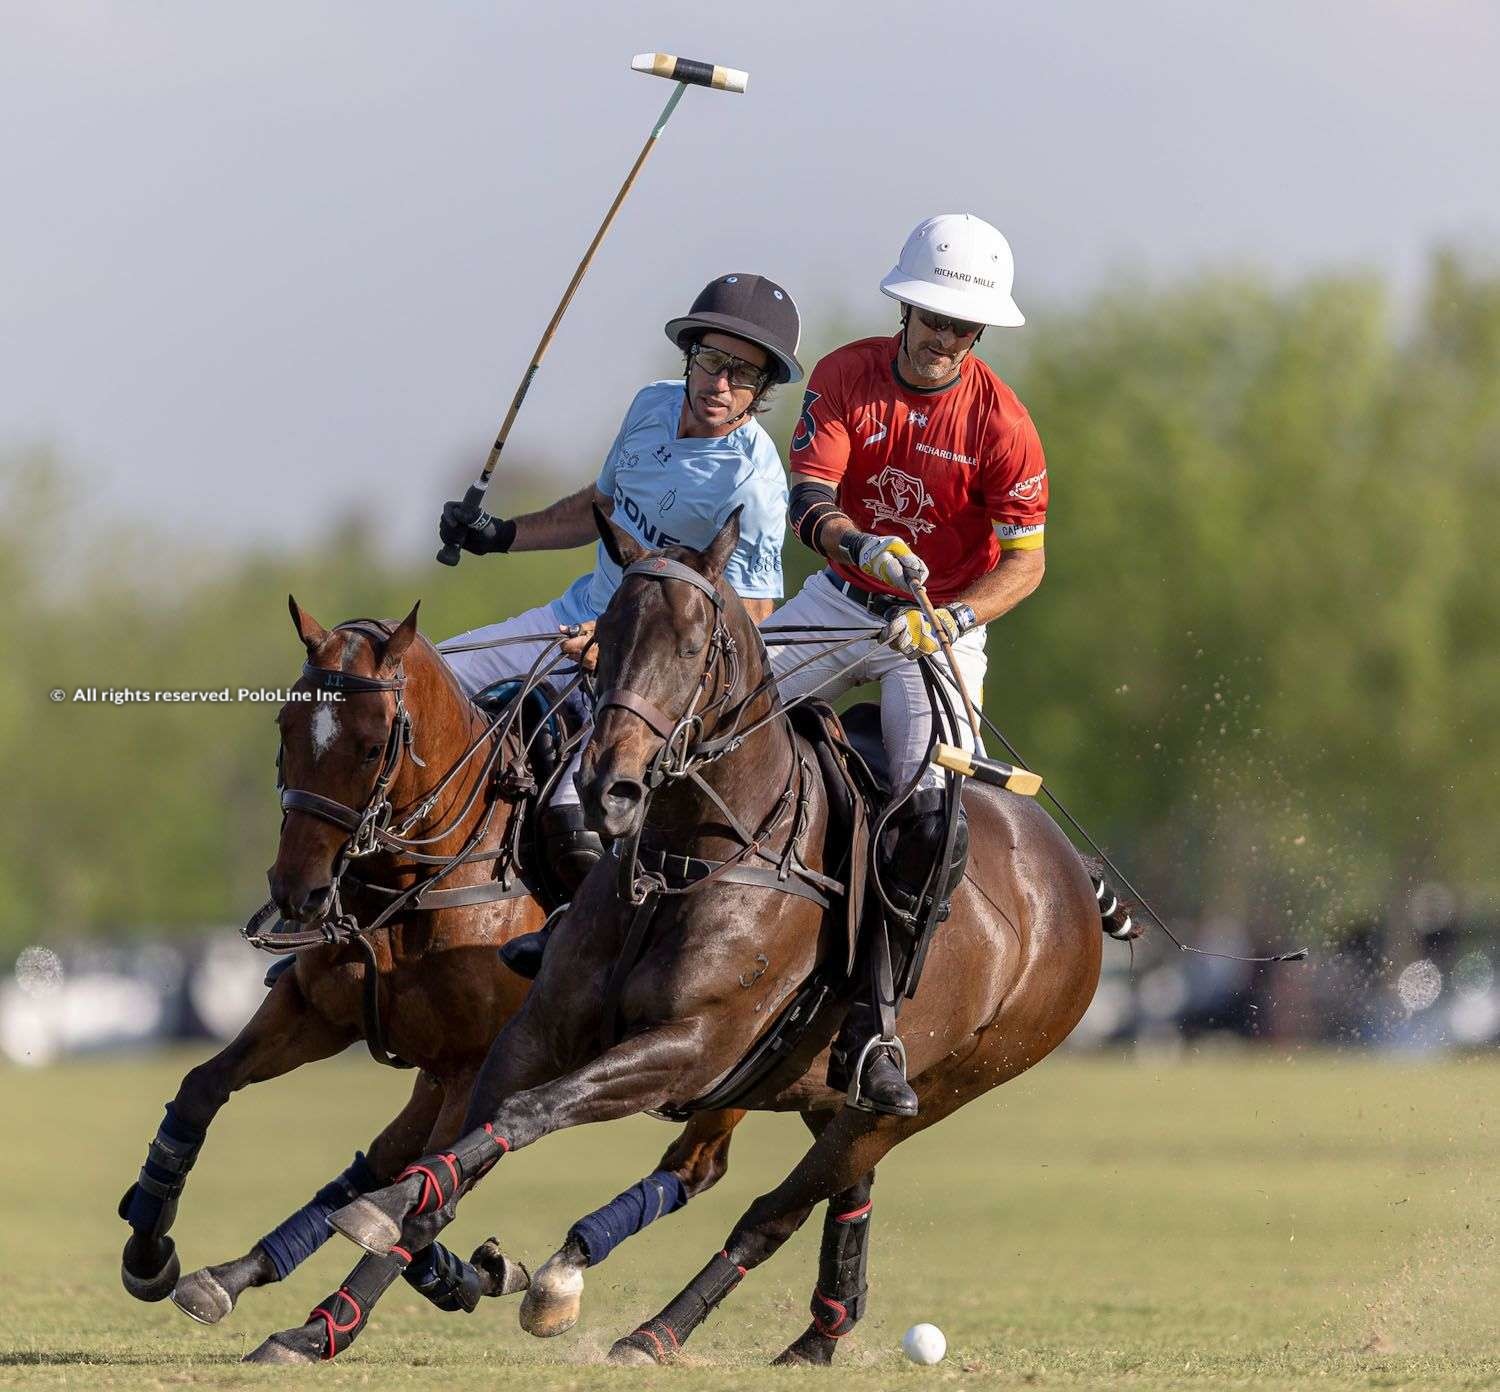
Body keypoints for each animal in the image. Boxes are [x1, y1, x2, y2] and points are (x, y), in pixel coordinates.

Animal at [264, 513, 1104, 1368]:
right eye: (605, 633)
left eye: (696, 646)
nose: (607, 785)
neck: (678, 858)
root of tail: (1071, 872)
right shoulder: (531, 1033)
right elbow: (467, 1150)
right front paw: (342, 1300)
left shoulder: (686, 1046)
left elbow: (529, 1113)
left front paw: (388, 1232)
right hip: (808, 1084)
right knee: (816, 1187)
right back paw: (814, 1334)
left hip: (927, 1094)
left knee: (777, 1207)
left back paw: (657, 1328)